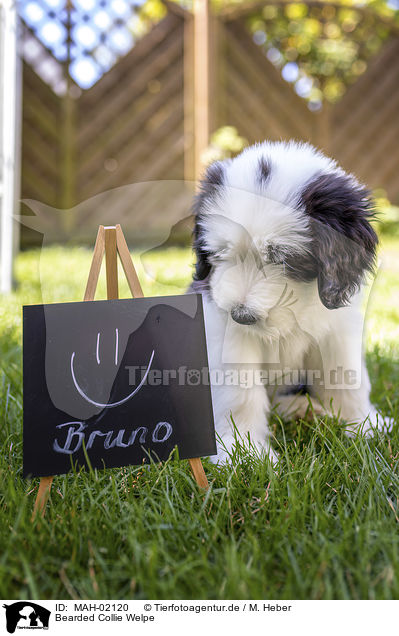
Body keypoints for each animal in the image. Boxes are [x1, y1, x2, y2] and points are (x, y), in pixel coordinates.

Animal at [191, 140, 394, 462]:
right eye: (221, 253)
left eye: (283, 258)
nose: (241, 315)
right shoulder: (225, 332)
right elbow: (239, 393)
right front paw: (245, 453)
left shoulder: (337, 330)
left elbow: (346, 377)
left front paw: (364, 426)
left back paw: (303, 411)